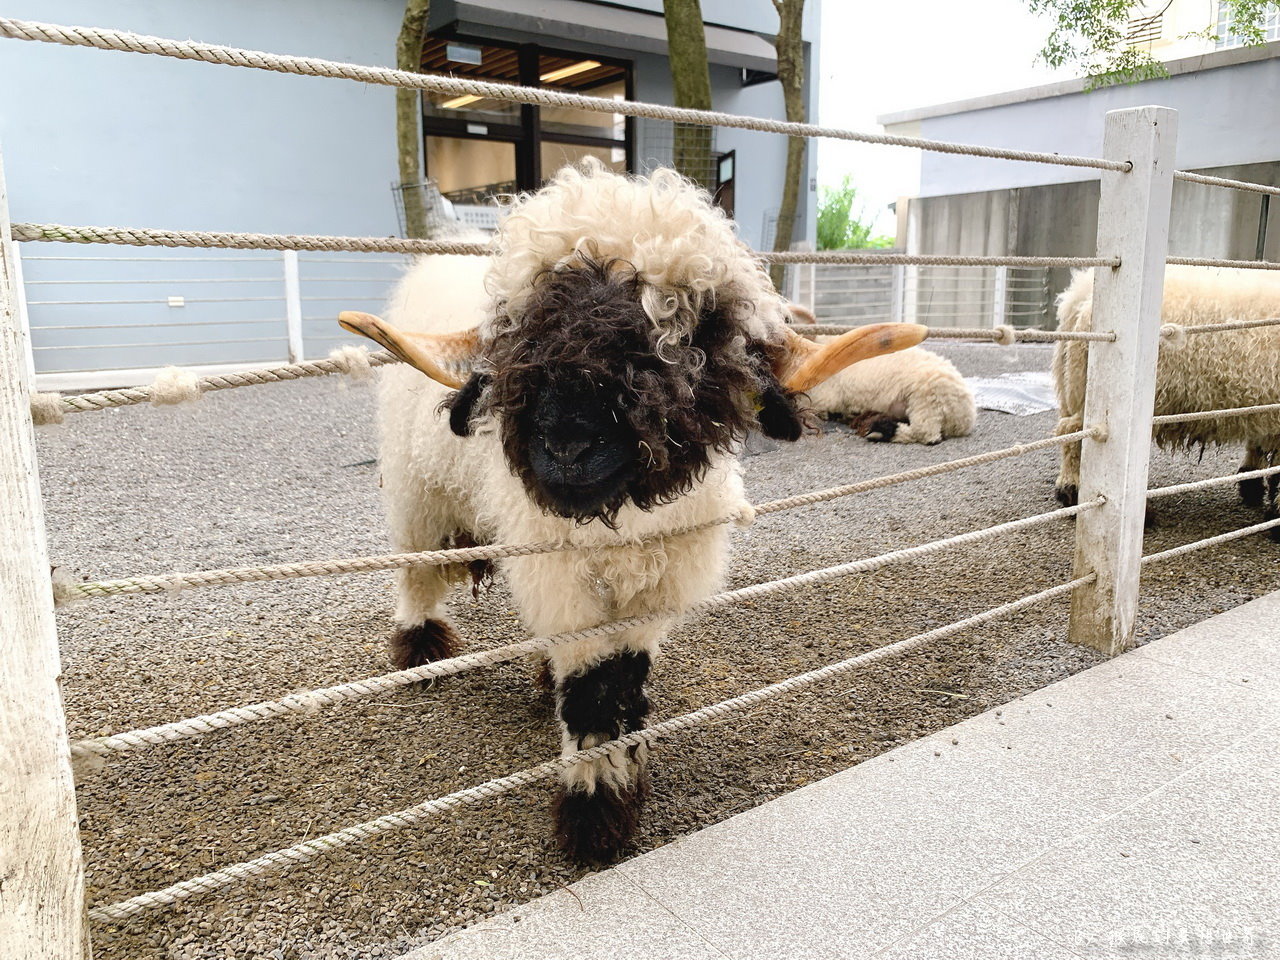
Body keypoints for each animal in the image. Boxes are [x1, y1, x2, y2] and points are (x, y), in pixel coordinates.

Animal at [335, 160, 926, 865]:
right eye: (521, 325)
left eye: (694, 329)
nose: (566, 445)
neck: (621, 529)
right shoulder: (562, 580)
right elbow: (591, 692)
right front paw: (593, 816)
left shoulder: (657, 589)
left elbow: (623, 678)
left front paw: (611, 792)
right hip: (416, 493)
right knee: (416, 573)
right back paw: (420, 651)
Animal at [1049, 264, 1280, 535]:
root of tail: (1077, 296)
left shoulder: (1264, 407)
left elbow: (1259, 446)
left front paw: (1251, 487)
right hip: (1089, 390)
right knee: (1075, 434)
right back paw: (1076, 493)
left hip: (1071, 383)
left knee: (1068, 431)